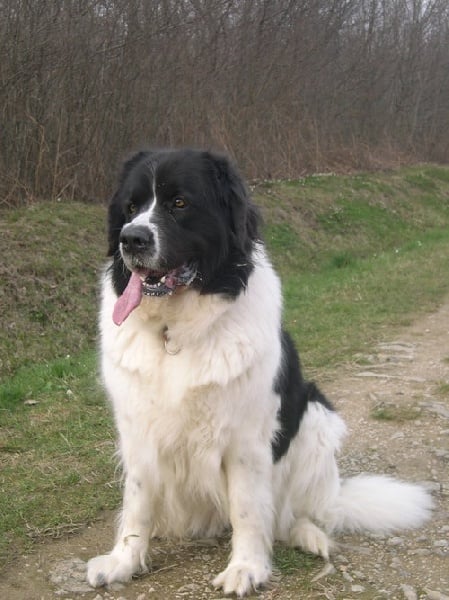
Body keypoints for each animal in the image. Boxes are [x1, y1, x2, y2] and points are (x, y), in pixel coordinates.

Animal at [87, 148, 432, 596]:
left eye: (180, 203)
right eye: (130, 208)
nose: (131, 238)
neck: (174, 332)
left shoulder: (246, 438)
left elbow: (248, 508)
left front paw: (247, 568)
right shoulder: (139, 432)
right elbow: (138, 504)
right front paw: (123, 561)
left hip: (316, 420)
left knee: (295, 515)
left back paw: (312, 537)